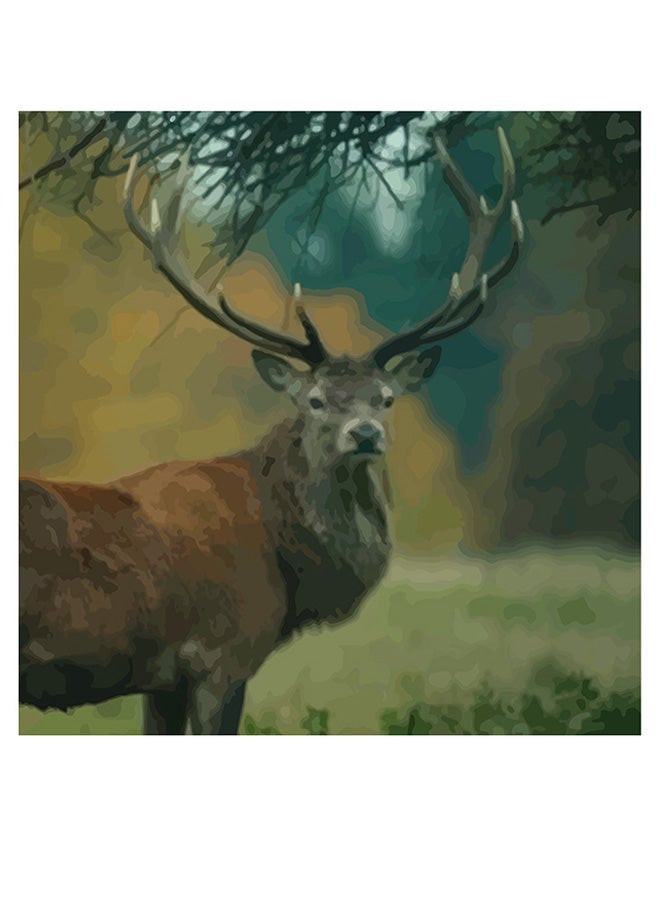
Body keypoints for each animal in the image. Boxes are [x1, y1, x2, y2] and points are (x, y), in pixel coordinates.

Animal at [19, 126, 524, 734]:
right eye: (314, 399)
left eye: (385, 399)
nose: (364, 434)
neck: (286, 562)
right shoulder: (224, 652)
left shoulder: (161, 680)